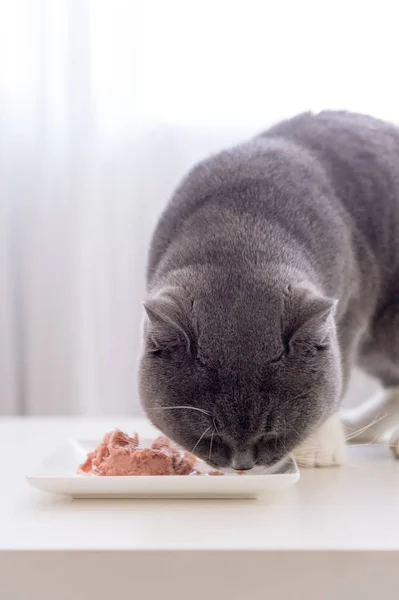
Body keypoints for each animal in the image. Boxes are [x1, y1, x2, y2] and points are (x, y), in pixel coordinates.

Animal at [139, 112, 399, 468]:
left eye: (271, 431)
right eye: (209, 434)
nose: (243, 464)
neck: (238, 228)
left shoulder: (352, 301)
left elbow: (337, 373)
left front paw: (317, 449)